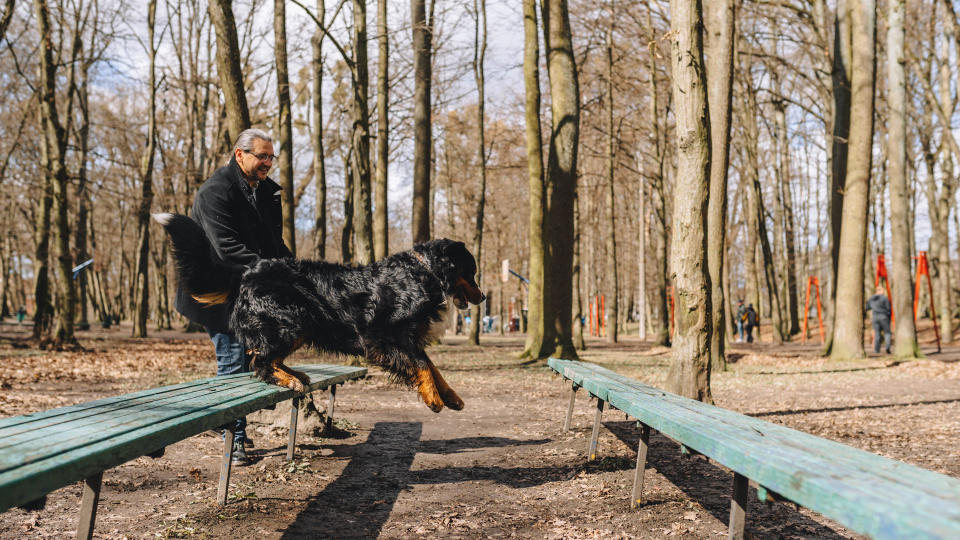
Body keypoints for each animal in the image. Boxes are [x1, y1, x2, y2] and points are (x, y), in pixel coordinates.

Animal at [158, 213, 488, 412]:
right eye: (471, 272)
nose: (483, 296)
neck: (422, 273)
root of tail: (249, 272)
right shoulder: (383, 336)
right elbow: (421, 365)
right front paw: (433, 398)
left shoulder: (409, 340)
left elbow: (433, 367)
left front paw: (451, 396)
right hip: (291, 319)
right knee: (259, 363)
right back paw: (288, 379)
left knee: (267, 359)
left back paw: (294, 373)